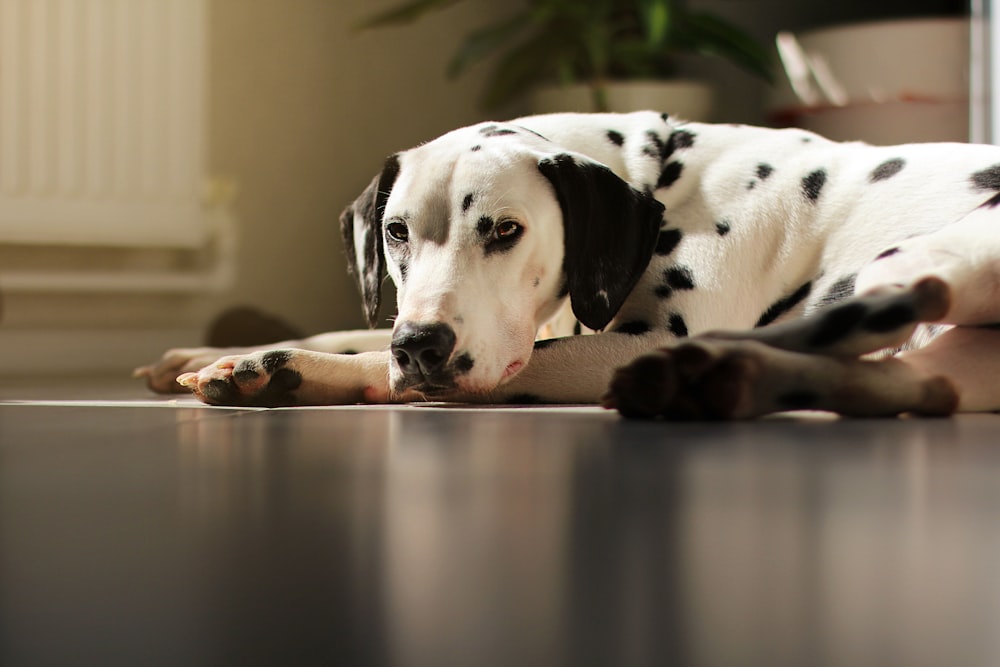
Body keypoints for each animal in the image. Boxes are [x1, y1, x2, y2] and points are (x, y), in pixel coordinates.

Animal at [135, 112, 1000, 420]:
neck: (663, 177)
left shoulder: (620, 339)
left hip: (918, 264)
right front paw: (207, 350)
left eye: (505, 229)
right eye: (396, 232)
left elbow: (497, 365)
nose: (421, 346)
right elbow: (356, 330)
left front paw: (279, 364)